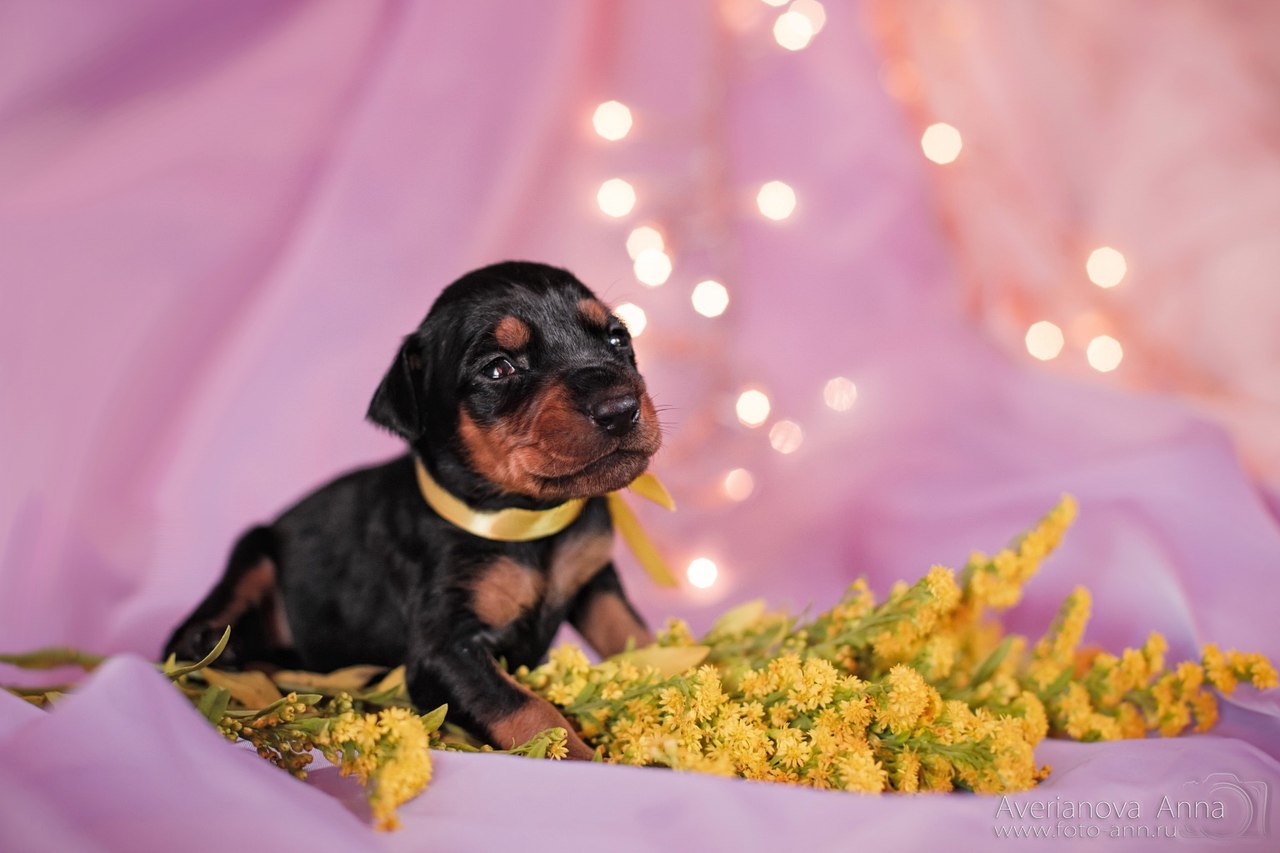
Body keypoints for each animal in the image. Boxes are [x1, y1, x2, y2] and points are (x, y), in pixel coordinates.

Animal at [165, 261, 665, 759]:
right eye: (499, 368)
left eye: (617, 338)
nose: (619, 409)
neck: (526, 522)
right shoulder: (442, 652)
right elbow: (529, 711)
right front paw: (592, 762)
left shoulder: (595, 577)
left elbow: (632, 634)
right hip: (252, 557)